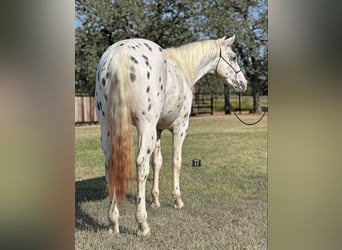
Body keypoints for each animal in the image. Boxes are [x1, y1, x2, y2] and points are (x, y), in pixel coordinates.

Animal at [95, 35, 247, 236]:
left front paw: (155, 200)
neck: (182, 69)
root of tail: (120, 55)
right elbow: (176, 161)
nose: (244, 83)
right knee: (141, 164)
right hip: (145, 127)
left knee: (110, 165)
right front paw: (177, 200)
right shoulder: (179, 128)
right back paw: (143, 224)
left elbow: (157, 162)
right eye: (233, 57)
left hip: (108, 127)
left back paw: (113, 222)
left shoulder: (158, 130)